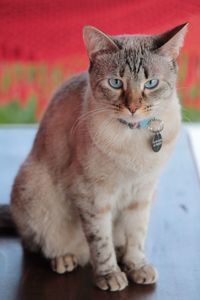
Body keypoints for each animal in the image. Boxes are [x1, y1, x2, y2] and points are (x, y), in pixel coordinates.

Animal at [8, 22, 188, 290]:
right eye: (115, 83)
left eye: (151, 83)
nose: (133, 108)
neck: (133, 135)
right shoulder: (93, 196)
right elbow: (101, 242)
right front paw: (110, 276)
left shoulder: (142, 193)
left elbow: (137, 234)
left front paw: (136, 267)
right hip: (34, 189)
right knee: (38, 244)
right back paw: (65, 259)